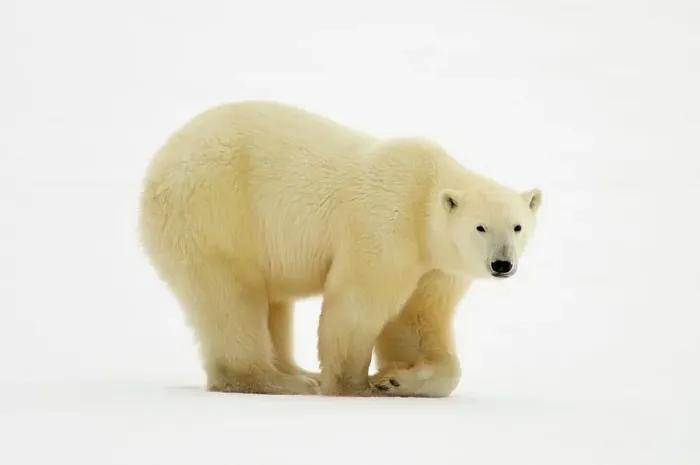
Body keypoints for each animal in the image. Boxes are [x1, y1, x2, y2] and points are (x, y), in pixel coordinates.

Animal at [138, 100, 542, 397]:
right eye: (480, 227)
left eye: (517, 226)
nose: (502, 263)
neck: (424, 190)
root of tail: (156, 167)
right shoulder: (386, 224)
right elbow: (357, 305)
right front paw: (354, 385)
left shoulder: (436, 265)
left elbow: (417, 319)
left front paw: (396, 379)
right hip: (215, 214)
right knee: (232, 298)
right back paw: (282, 381)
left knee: (271, 304)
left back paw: (297, 371)